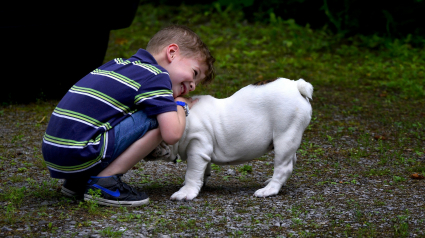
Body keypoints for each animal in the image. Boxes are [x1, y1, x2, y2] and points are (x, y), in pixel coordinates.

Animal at [146, 78, 312, 201]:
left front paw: (186, 192)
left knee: (283, 166)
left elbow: (192, 173)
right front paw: (201, 182)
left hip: (285, 135)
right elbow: (203, 170)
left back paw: (269, 190)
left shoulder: (197, 148)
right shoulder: (202, 152)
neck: (183, 119)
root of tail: (296, 86)